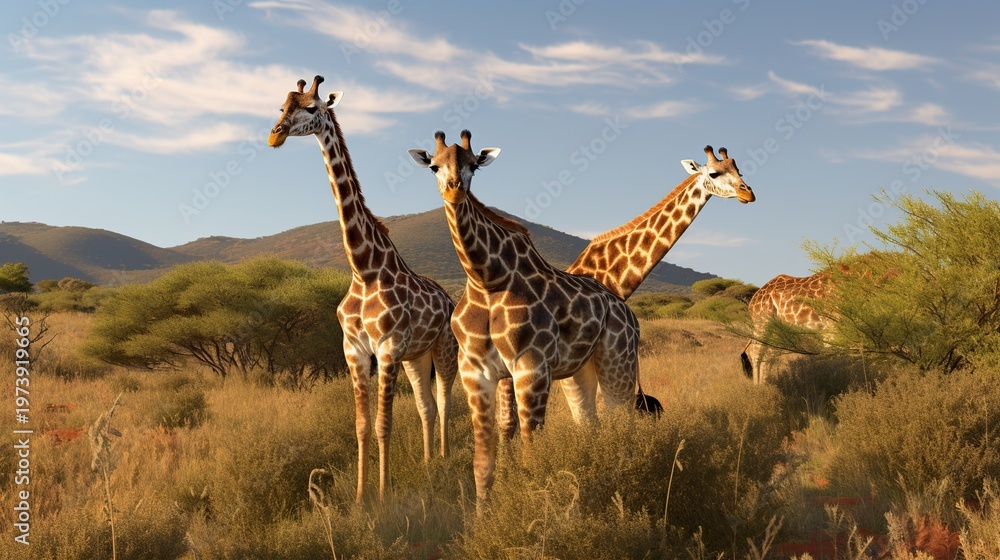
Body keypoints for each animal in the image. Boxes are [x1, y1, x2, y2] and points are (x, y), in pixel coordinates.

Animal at [268, 76, 458, 503]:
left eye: (311, 108)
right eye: (281, 107)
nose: (275, 135)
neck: (364, 268)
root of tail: (450, 299)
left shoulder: (386, 348)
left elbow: (384, 425)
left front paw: (384, 495)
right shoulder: (354, 350)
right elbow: (361, 426)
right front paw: (359, 498)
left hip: (443, 349)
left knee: (444, 401)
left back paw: (443, 460)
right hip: (416, 357)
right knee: (426, 407)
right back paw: (428, 465)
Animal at [408, 130, 640, 507]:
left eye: (474, 164)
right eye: (433, 166)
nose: (454, 188)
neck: (487, 279)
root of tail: (630, 314)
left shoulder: (531, 367)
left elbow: (533, 456)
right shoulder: (475, 372)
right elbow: (482, 462)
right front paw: (481, 517)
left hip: (619, 362)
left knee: (623, 424)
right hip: (580, 371)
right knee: (591, 424)